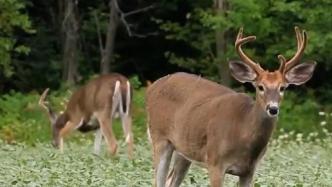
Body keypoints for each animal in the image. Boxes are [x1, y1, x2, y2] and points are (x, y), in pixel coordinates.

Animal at [146, 26, 316, 187]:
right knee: (158, 181)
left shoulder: (249, 171)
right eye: (260, 87)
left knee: (170, 181)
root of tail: (152, 86)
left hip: (184, 150)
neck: (243, 131)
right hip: (159, 137)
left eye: (283, 88)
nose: (273, 109)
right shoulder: (215, 162)